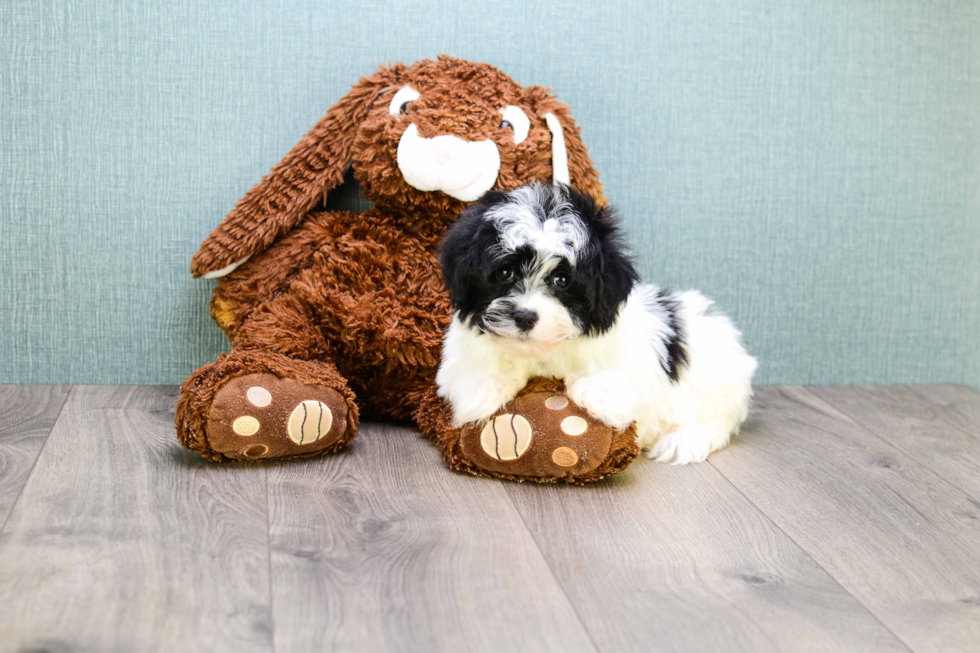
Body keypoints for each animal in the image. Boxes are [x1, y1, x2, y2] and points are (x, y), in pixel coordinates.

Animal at [436, 181, 756, 460]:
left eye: (562, 280)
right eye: (504, 273)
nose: (525, 317)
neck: (543, 352)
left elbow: (618, 382)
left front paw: (597, 392)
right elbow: (469, 372)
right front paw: (483, 389)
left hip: (717, 381)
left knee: (717, 421)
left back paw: (684, 440)